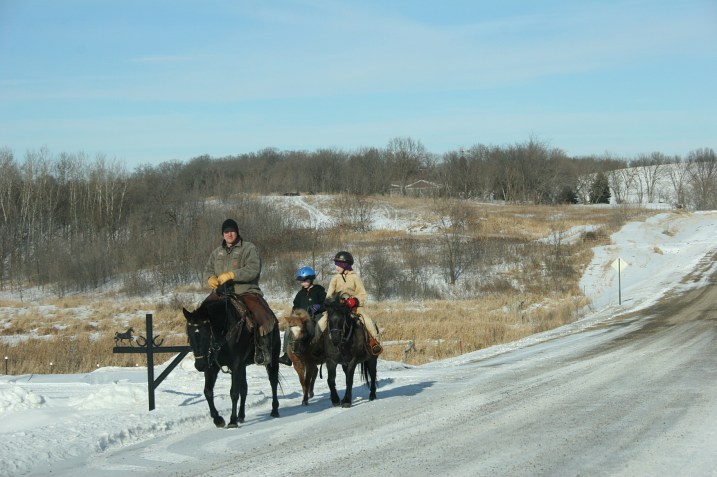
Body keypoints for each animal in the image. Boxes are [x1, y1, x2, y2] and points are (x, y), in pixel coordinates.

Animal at [183, 295, 280, 428]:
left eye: (206, 333)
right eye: (189, 333)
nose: (200, 365)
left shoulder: (236, 364)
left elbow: (234, 393)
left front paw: (232, 421)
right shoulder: (213, 366)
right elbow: (208, 391)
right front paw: (218, 419)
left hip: (272, 359)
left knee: (273, 382)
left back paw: (274, 410)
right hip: (243, 366)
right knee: (244, 389)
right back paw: (241, 415)